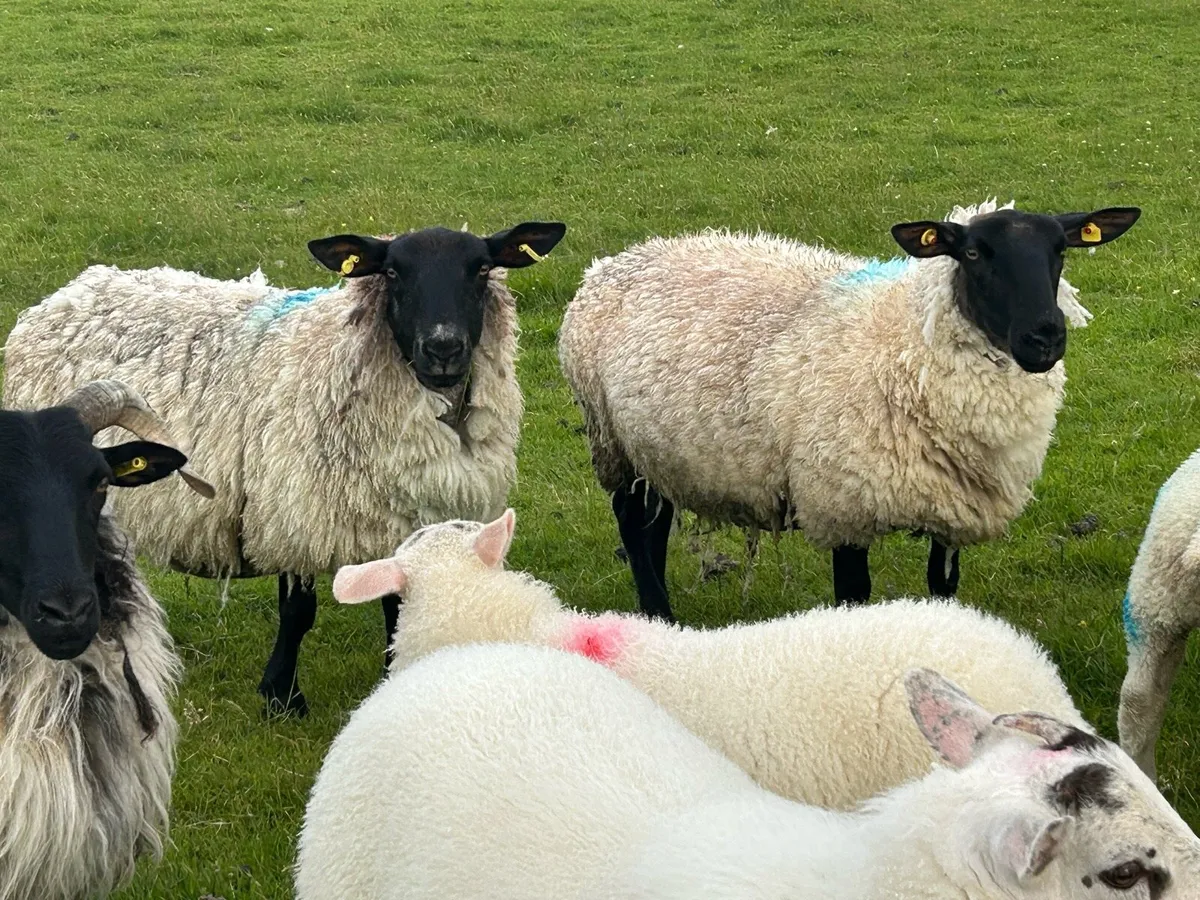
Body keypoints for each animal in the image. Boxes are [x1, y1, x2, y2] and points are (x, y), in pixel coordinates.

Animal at [2, 220, 566, 715]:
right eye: (391, 272)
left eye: (482, 268)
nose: (443, 348)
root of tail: (71, 291)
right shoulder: (293, 509)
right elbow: (298, 613)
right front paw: (280, 697)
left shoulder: (404, 518)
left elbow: (396, 602)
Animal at [558, 200, 1141, 620]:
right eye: (974, 254)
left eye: (1061, 250)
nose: (1045, 337)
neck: (905, 341)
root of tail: (612, 263)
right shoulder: (843, 503)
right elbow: (854, 595)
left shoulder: (948, 512)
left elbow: (941, 586)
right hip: (613, 441)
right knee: (634, 527)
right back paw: (659, 615)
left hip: (657, 449)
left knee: (653, 525)